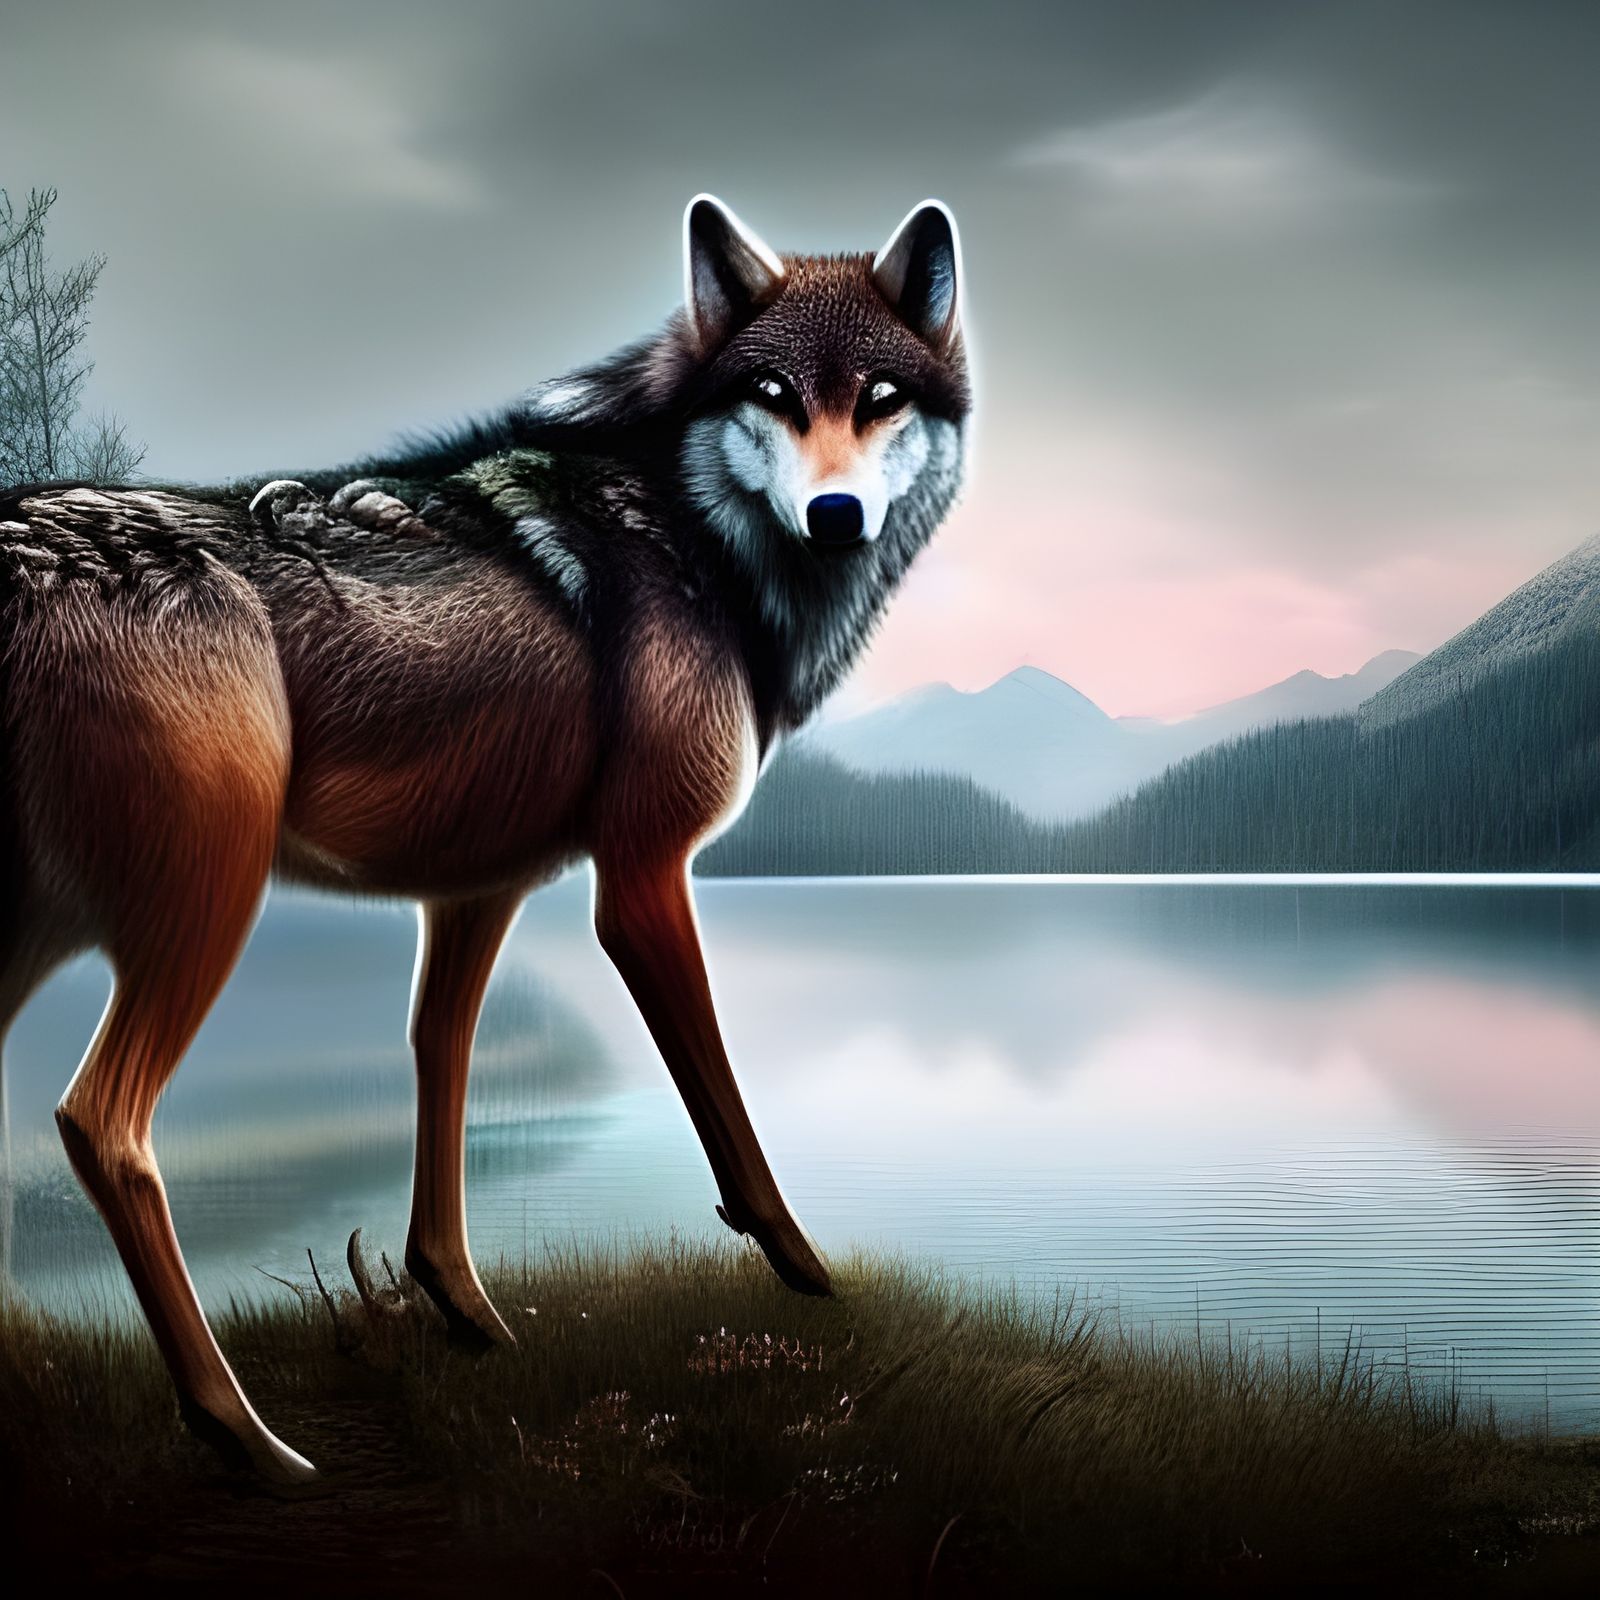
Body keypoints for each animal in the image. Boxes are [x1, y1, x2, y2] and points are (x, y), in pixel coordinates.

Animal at [0, 194, 969, 1480]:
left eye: (881, 398)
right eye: (770, 394)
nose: (836, 514)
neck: (692, 534)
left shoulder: (476, 891)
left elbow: (442, 1062)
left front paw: (462, 1308)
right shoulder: (641, 879)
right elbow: (724, 1103)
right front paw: (807, 1268)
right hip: (203, 906)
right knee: (101, 1124)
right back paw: (242, 1433)